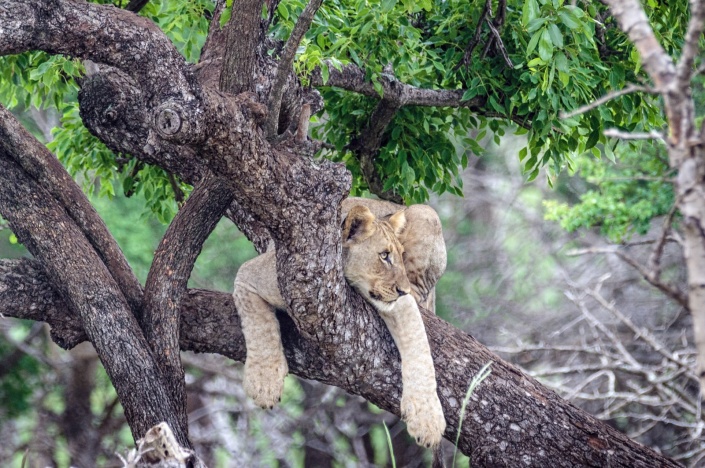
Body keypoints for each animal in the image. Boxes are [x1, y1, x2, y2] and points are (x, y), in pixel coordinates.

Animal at [232, 197, 447, 447]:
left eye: (401, 255)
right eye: (384, 255)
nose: (403, 291)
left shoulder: (401, 305)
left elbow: (420, 351)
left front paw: (427, 421)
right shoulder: (250, 275)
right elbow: (259, 326)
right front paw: (263, 382)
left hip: (425, 212)